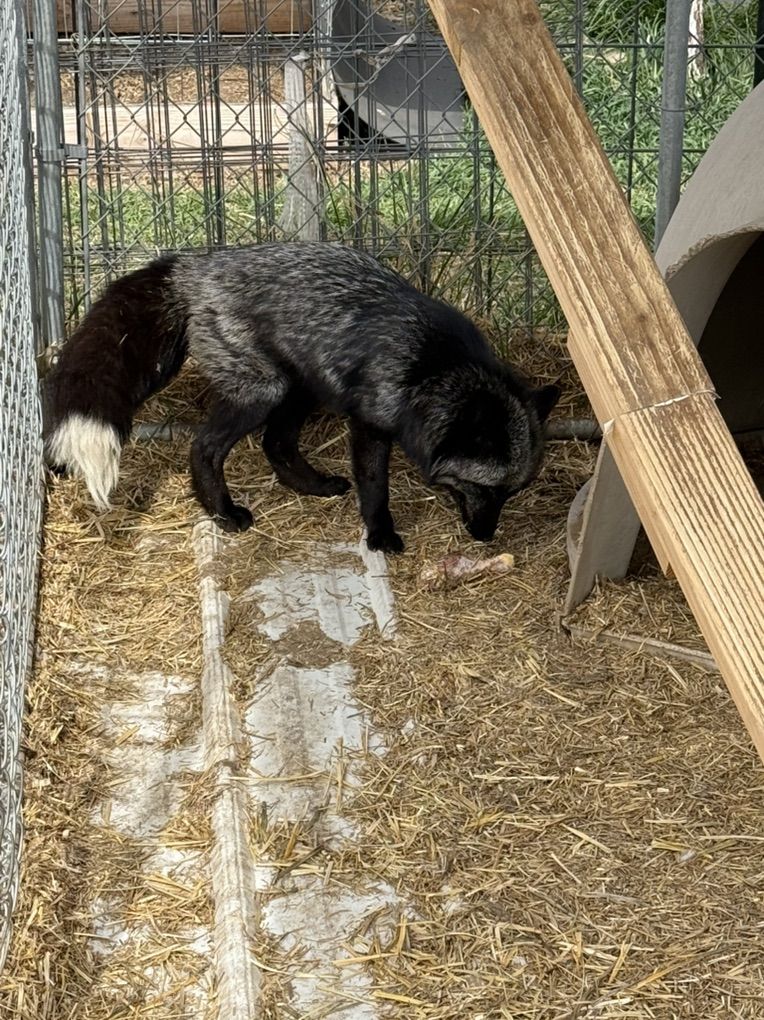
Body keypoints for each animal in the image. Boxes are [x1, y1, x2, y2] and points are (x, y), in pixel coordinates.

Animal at [44, 242, 560, 553]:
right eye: (483, 489)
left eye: (512, 492)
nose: (485, 537)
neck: (433, 368)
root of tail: (194, 267)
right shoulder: (371, 425)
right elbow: (376, 486)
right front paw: (380, 534)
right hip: (264, 390)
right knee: (204, 448)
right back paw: (223, 513)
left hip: (302, 387)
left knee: (276, 443)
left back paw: (310, 486)